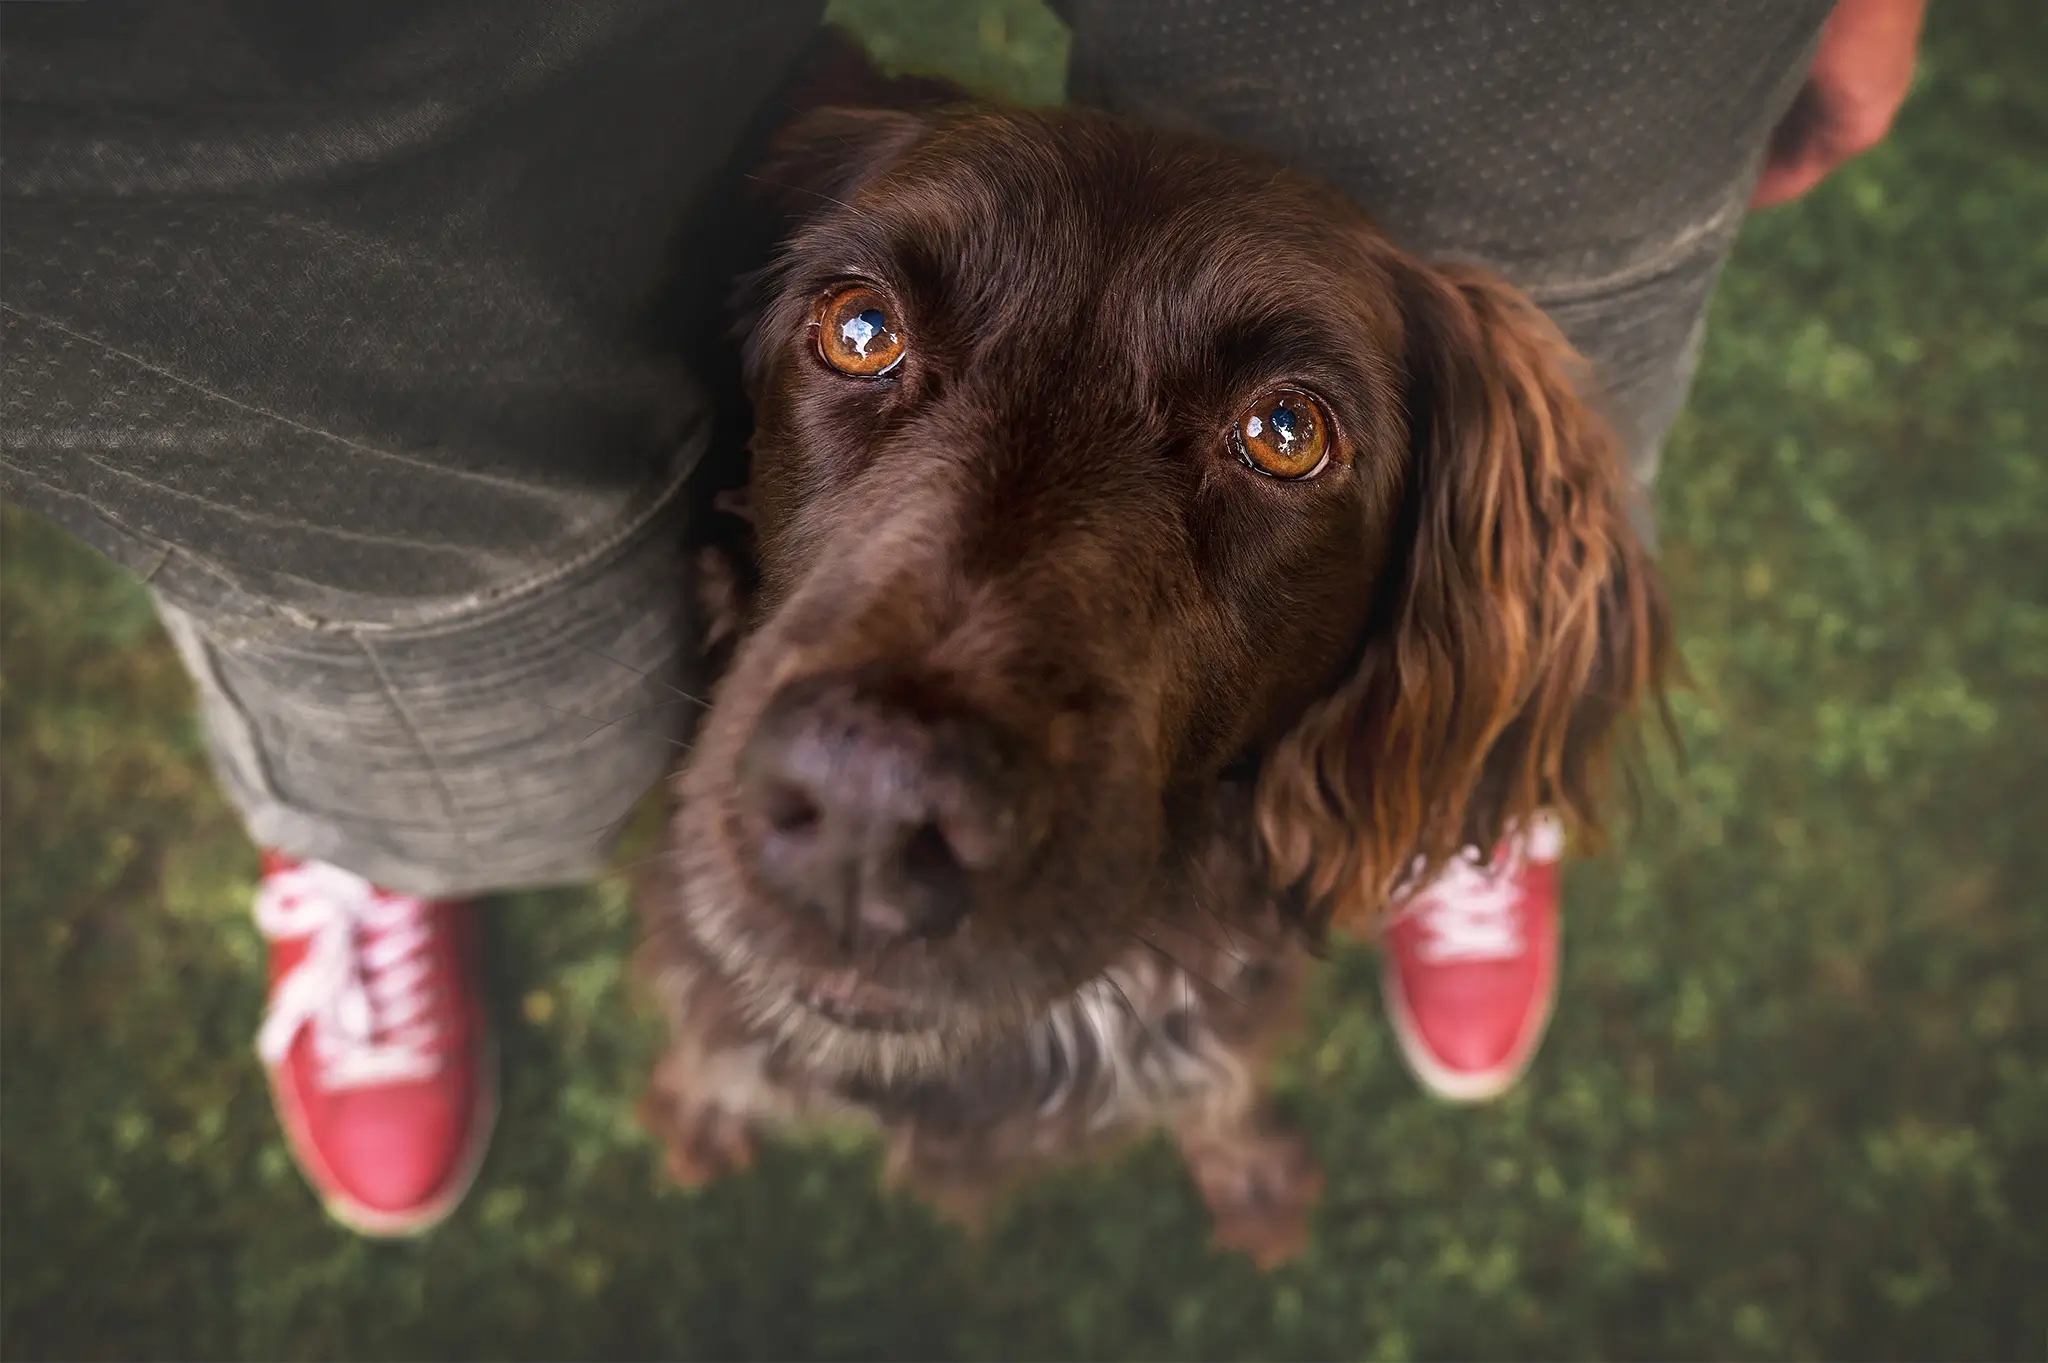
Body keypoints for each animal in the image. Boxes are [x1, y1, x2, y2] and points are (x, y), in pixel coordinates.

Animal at [634, 74, 1662, 1260]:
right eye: (858, 328)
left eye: (1285, 430)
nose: (870, 803)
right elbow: (718, 1035)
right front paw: (700, 1109)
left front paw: (1249, 1176)